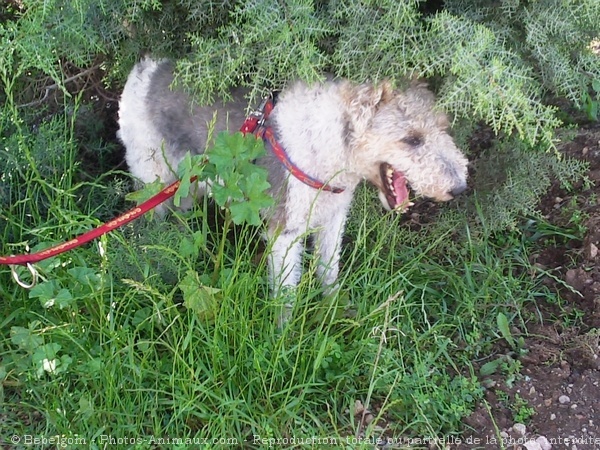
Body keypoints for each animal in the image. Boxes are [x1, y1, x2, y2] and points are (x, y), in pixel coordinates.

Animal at [116, 57, 468, 324]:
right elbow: (286, 295)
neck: (327, 146)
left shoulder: (332, 220)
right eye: (412, 139)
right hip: (151, 181)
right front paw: (282, 339)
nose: (459, 188)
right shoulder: (285, 233)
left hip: (185, 187)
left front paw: (335, 311)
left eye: (443, 127)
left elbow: (329, 272)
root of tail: (143, 69)